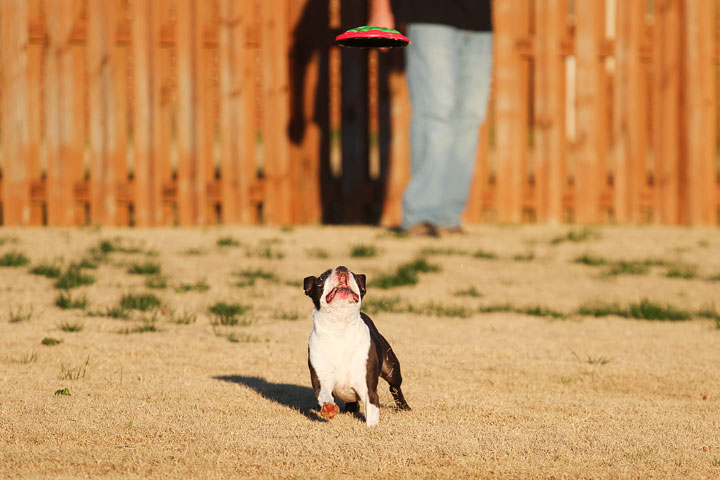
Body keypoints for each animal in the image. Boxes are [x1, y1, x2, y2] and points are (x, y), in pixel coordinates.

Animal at [304, 266, 410, 428]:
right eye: (323, 277)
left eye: (353, 275)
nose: (342, 268)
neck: (340, 327)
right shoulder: (321, 381)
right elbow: (324, 395)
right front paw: (328, 408)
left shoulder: (368, 389)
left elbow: (372, 411)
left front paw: (372, 428)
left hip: (391, 369)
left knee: (395, 387)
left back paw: (405, 408)